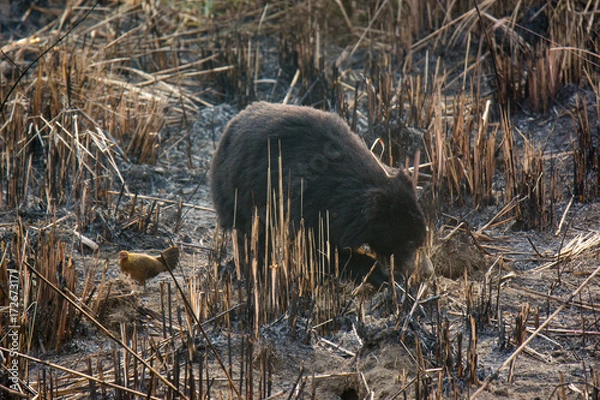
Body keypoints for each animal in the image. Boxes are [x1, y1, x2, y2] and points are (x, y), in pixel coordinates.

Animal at [211, 101, 426, 286]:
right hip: (236, 193)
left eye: (418, 241)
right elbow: (317, 250)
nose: (412, 271)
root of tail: (232, 124)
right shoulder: (307, 202)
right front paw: (379, 275)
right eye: (408, 242)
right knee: (250, 236)